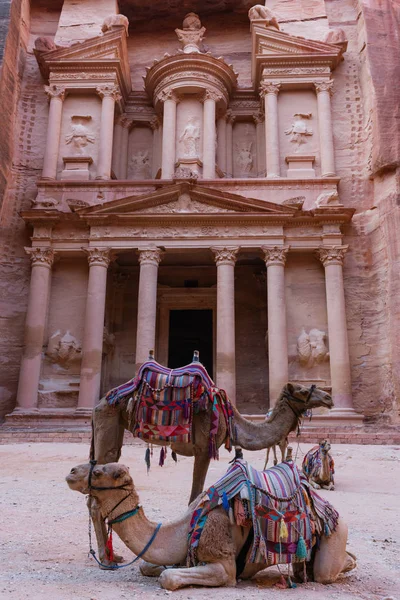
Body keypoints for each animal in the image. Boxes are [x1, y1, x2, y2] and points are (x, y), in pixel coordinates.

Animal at [65, 462, 356, 588]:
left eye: (98, 472)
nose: (71, 472)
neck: (183, 527)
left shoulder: (222, 560)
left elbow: (168, 578)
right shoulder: (186, 551)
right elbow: (148, 566)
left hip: (337, 531)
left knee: (326, 572)